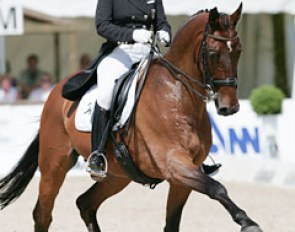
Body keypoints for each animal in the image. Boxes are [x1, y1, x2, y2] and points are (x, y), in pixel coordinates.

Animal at [0, 3, 264, 232]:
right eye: (212, 53)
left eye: (239, 50)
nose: (229, 107)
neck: (178, 96)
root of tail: (56, 91)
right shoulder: (174, 164)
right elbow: (217, 188)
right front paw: (248, 222)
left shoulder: (182, 178)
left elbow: (174, 222)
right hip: (54, 165)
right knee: (43, 213)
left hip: (118, 175)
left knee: (85, 203)